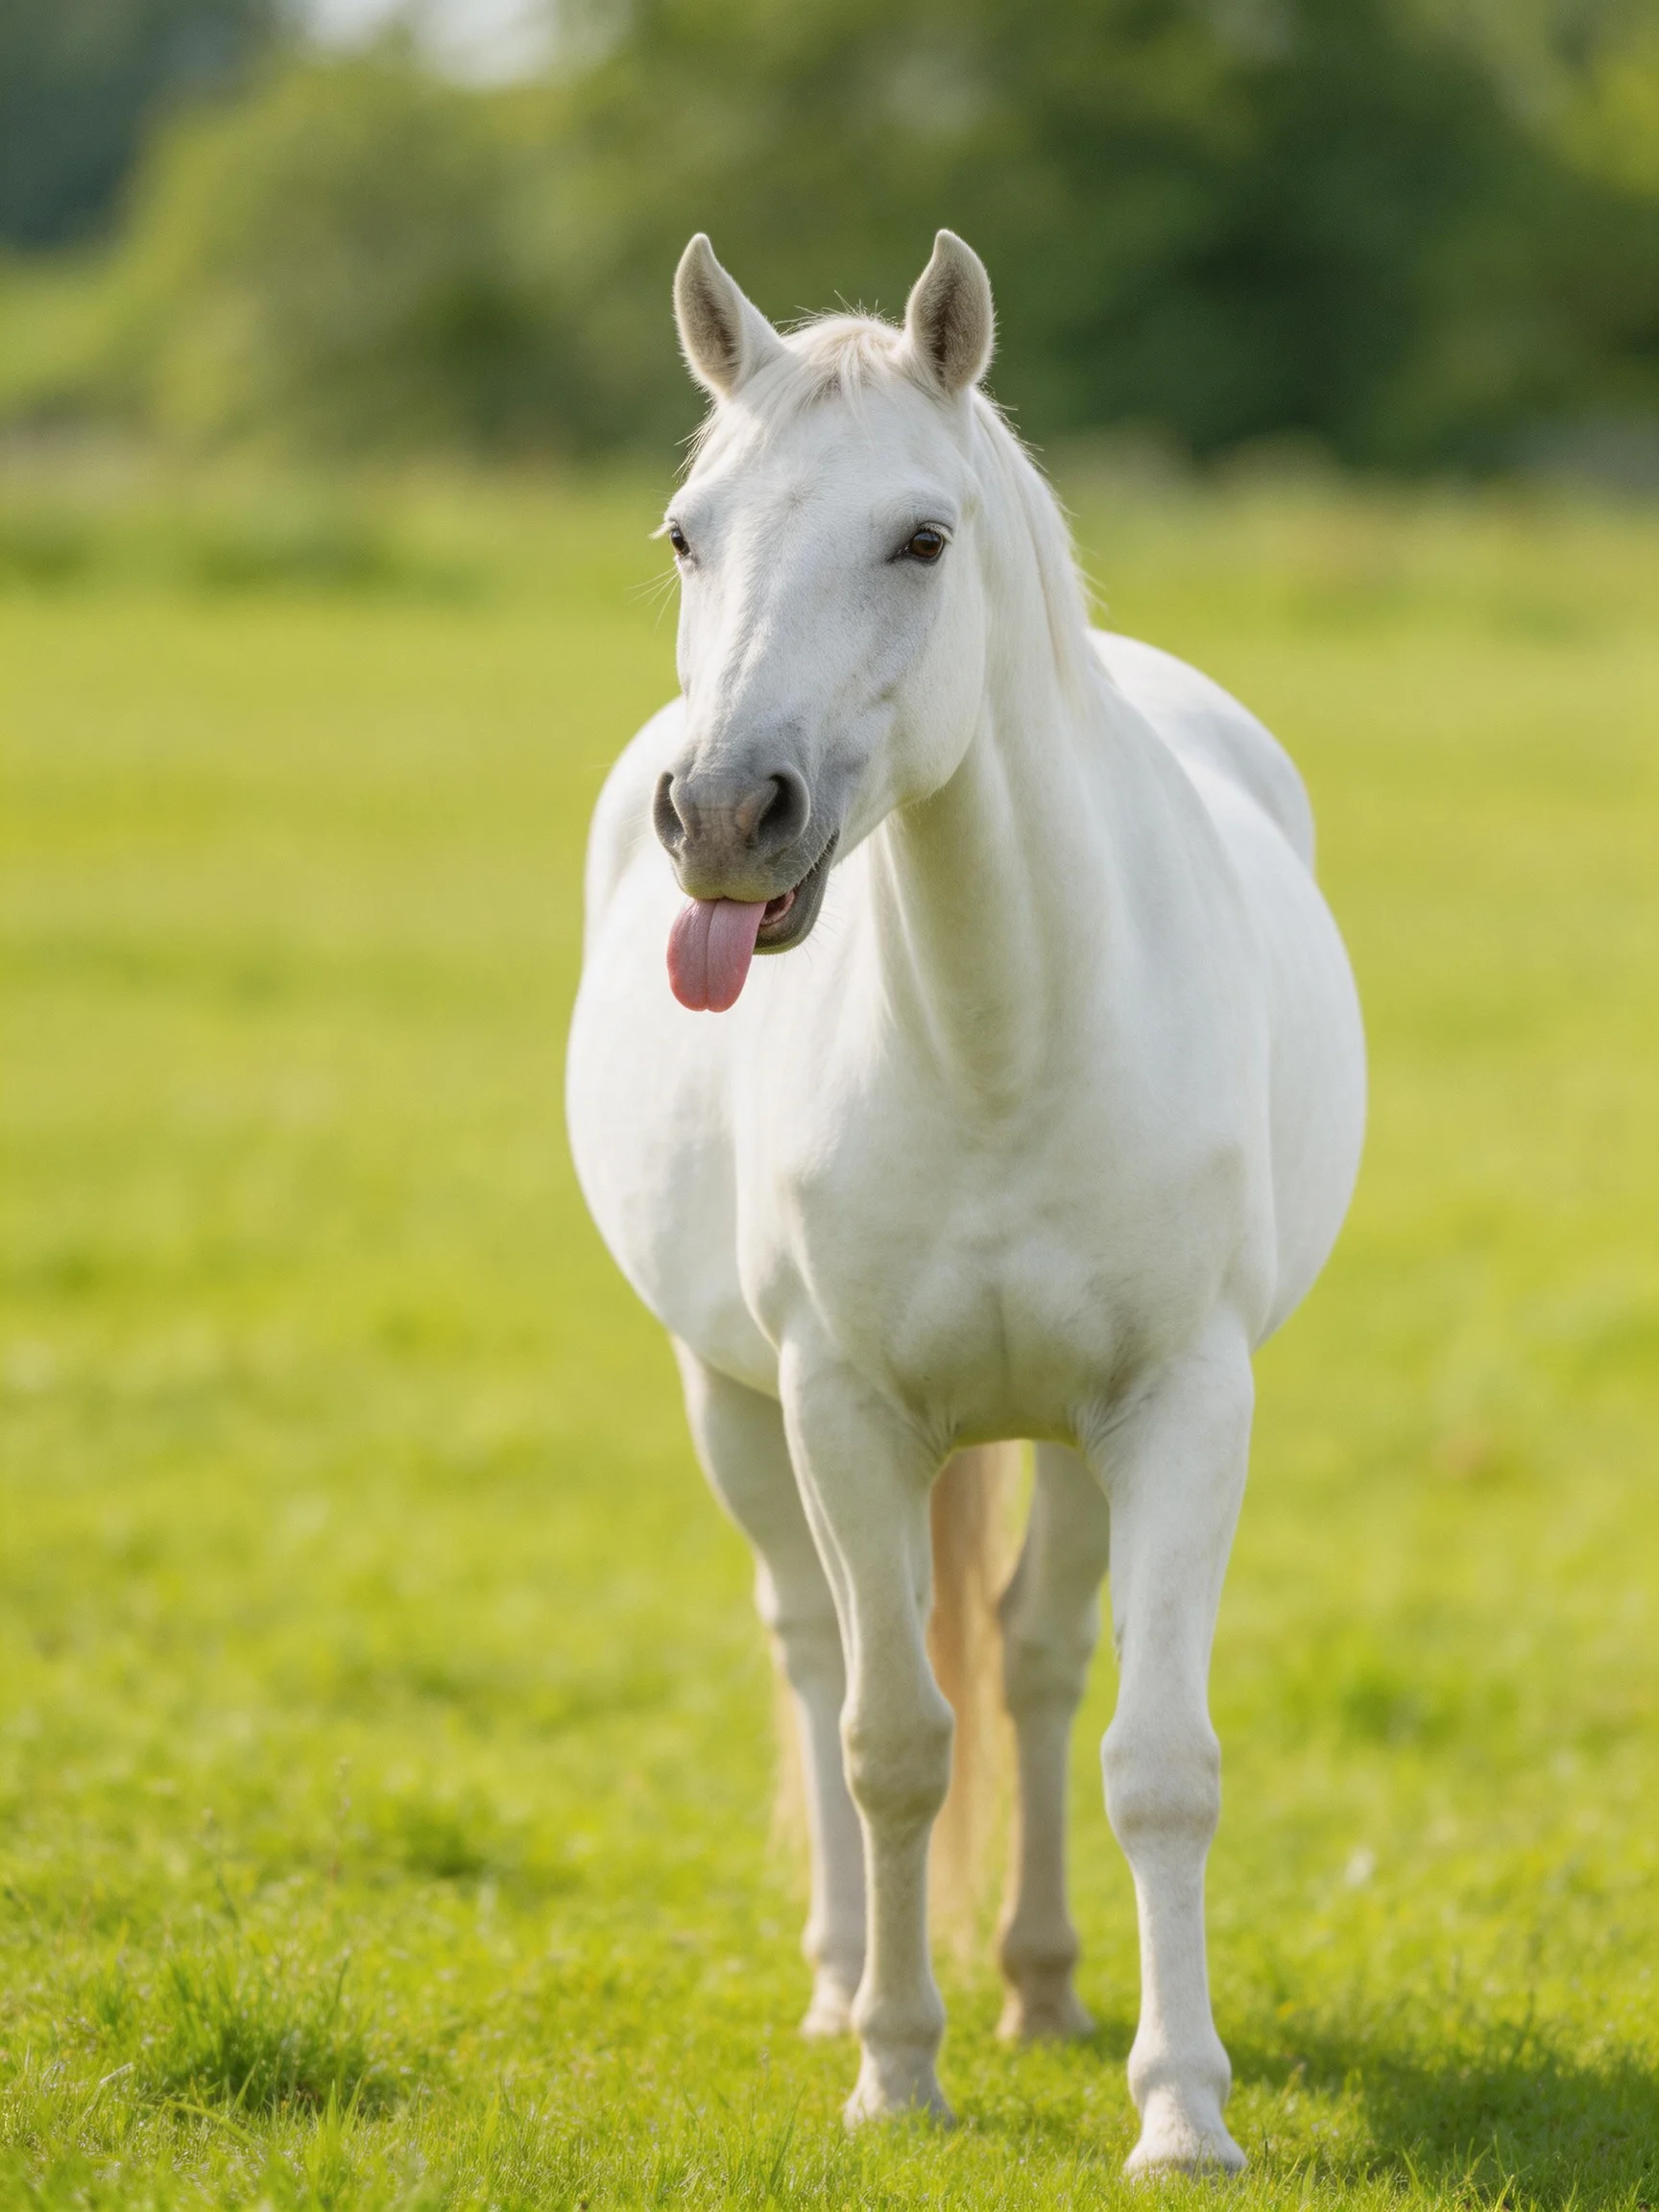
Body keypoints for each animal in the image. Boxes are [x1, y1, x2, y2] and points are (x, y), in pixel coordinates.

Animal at [566, 229, 1365, 2174]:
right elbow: (890, 1741)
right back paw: (843, 1978)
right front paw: (896, 2071)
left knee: (1040, 1659)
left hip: (1073, 1446)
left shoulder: (1178, 1404)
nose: (723, 815)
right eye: (686, 532)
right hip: (732, 1404)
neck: (1003, 1031)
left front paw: (1181, 2109)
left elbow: (1156, 1757)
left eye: (921, 538)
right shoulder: (844, 1411)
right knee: (808, 1652)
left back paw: (1049, 1985)